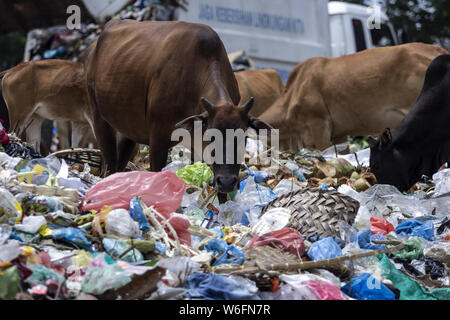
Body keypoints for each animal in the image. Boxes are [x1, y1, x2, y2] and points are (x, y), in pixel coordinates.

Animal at [85, 19, 270, 198]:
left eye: (243, 138)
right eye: (211, 137)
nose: (227, 182)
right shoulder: (158, 139)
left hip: (128, 129)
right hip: (99, 118)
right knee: (109, 165)